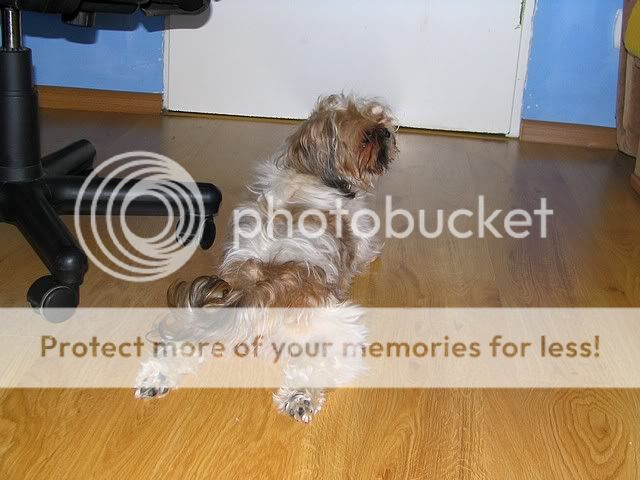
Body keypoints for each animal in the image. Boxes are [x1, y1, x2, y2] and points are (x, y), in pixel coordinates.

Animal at [135, 94, 398, 423]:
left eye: (380, 122)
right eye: (367, 136)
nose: (387, 131)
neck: (308, 175)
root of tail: (257, 292)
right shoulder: (363, 241)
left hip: (199, 320)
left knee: (179, 346)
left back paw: (155, 377)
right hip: (334, 330)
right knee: (317, 367)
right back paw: (300, 398)